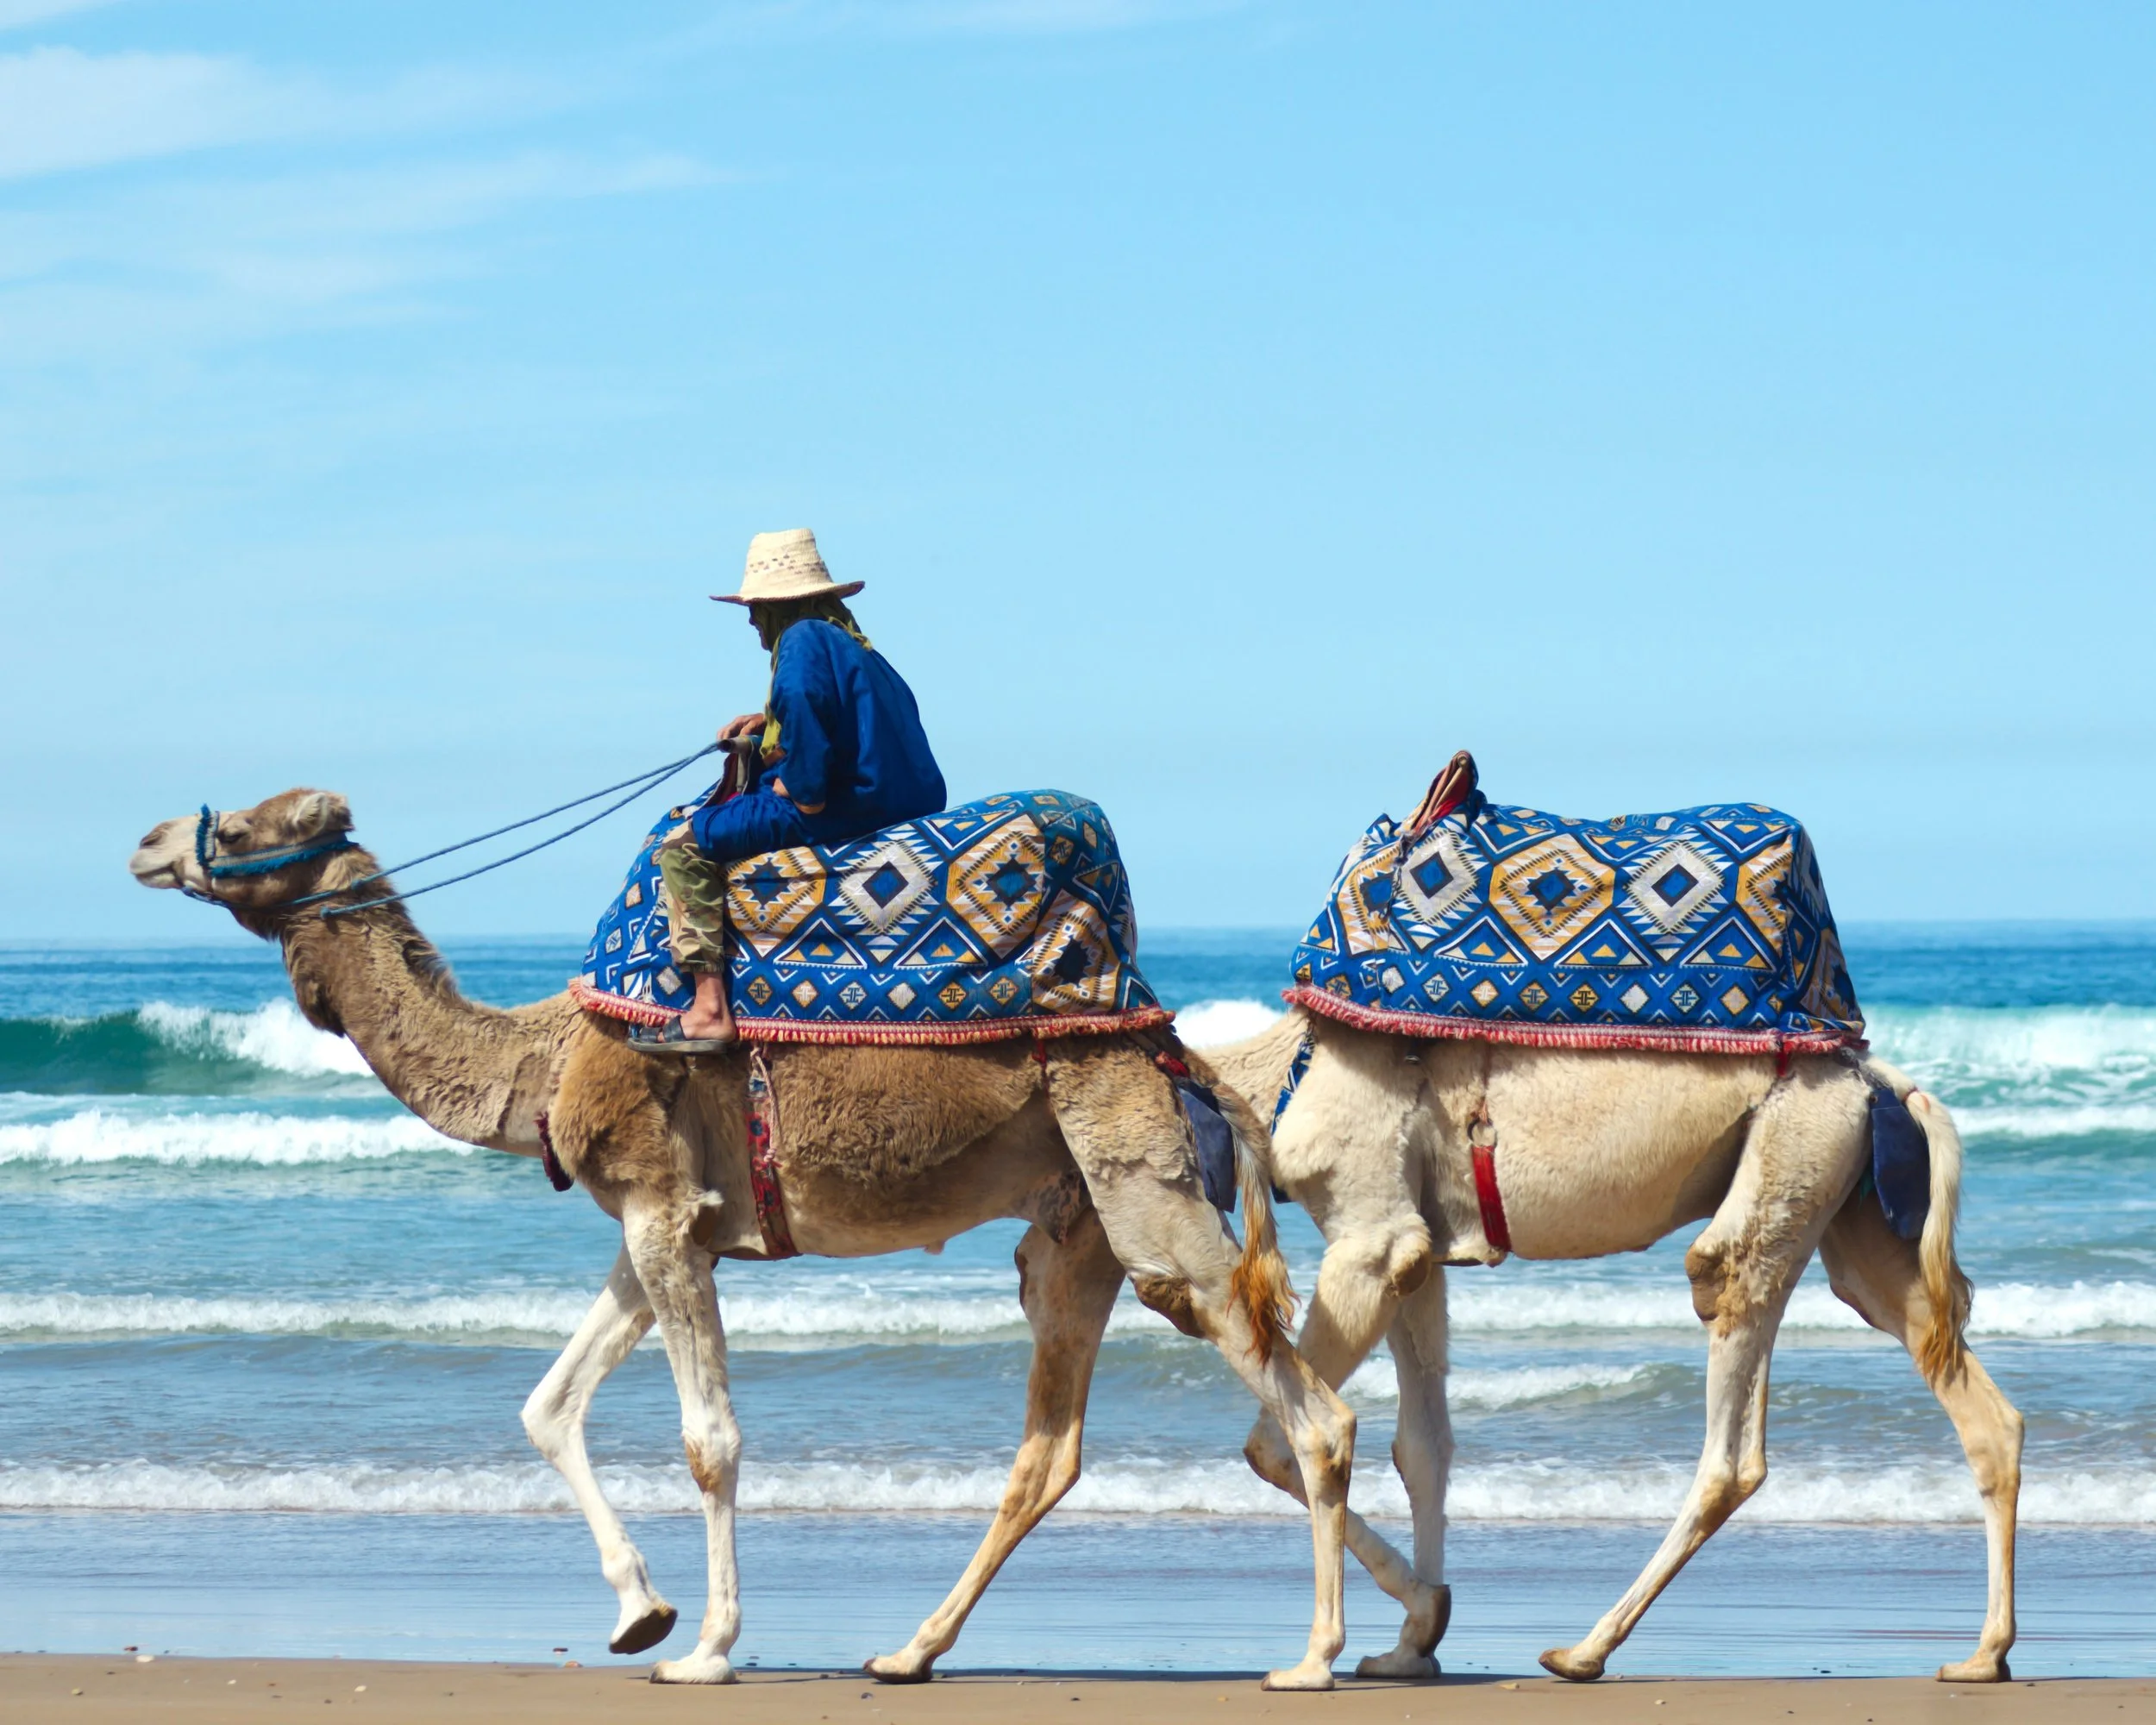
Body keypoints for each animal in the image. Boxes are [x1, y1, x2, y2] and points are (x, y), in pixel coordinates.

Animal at [128, 788, 1361, 1690]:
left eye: (247, 828)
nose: (147, 840)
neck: (546, 1058)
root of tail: (1176, 1051)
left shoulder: (661, 1212)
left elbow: (708, 1439)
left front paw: (706, 1649)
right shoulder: (664, 1225)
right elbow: (547, 1405)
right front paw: (640, 1611)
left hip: (1141, 1187)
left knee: (1313, 1408)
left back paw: (1310, 1658)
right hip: (1077, 1229)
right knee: (1049, 1446)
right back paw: (907, 1649)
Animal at [1201, 1006, 2023, 1684]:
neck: (1282, 1074)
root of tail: (1882, 1078)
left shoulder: (1371, 1237)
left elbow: (1278, 1443)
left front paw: (1328, 1655)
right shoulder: (1421, 1252)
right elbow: (1424, 1447)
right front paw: (1416, 1640)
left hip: (1793, 1157)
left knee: (1731, 1414)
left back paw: (1584, 1651)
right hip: (1854, 1216)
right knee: (1979, 1406)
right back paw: (1984, 1655)